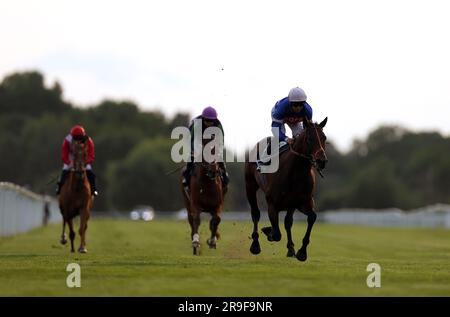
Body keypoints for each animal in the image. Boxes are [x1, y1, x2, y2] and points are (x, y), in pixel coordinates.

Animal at [244, 117, 328, 260]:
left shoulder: (302, 202)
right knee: (255, 214)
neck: (296, 172)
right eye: (309, 139)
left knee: (288, 222)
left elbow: (311, 217)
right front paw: (268, 232)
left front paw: (301, 252)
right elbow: (277, 234)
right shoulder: (272, 203)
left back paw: (290, 248)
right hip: (250, 186)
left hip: (290, 204)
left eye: (324, 137)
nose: (321, 161)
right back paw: (255, 245)